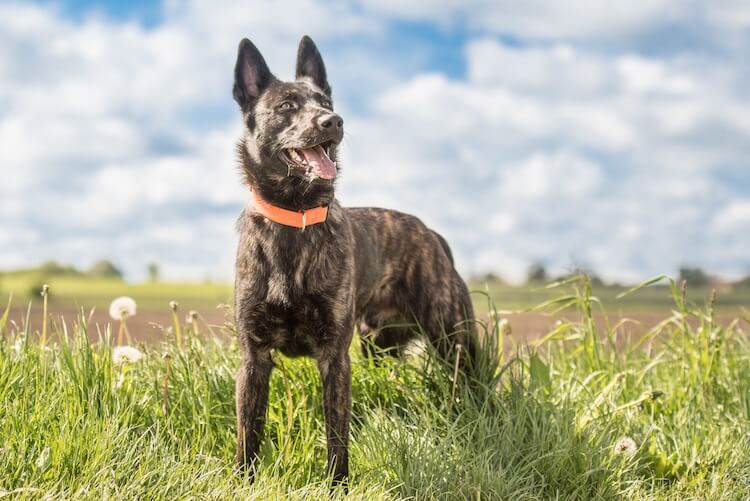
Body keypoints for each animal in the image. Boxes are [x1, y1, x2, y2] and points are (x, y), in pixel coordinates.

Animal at [232, 35, 478, 484]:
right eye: (287, 105)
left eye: (326, 101)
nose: (334, 121)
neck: (296, 217)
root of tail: (432, 235)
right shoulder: (254, 358)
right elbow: (249, 431)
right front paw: (244, 482)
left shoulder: (335, 358)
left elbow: (337, 432)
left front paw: (337, 484)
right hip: (379, 344)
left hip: (452, 339)